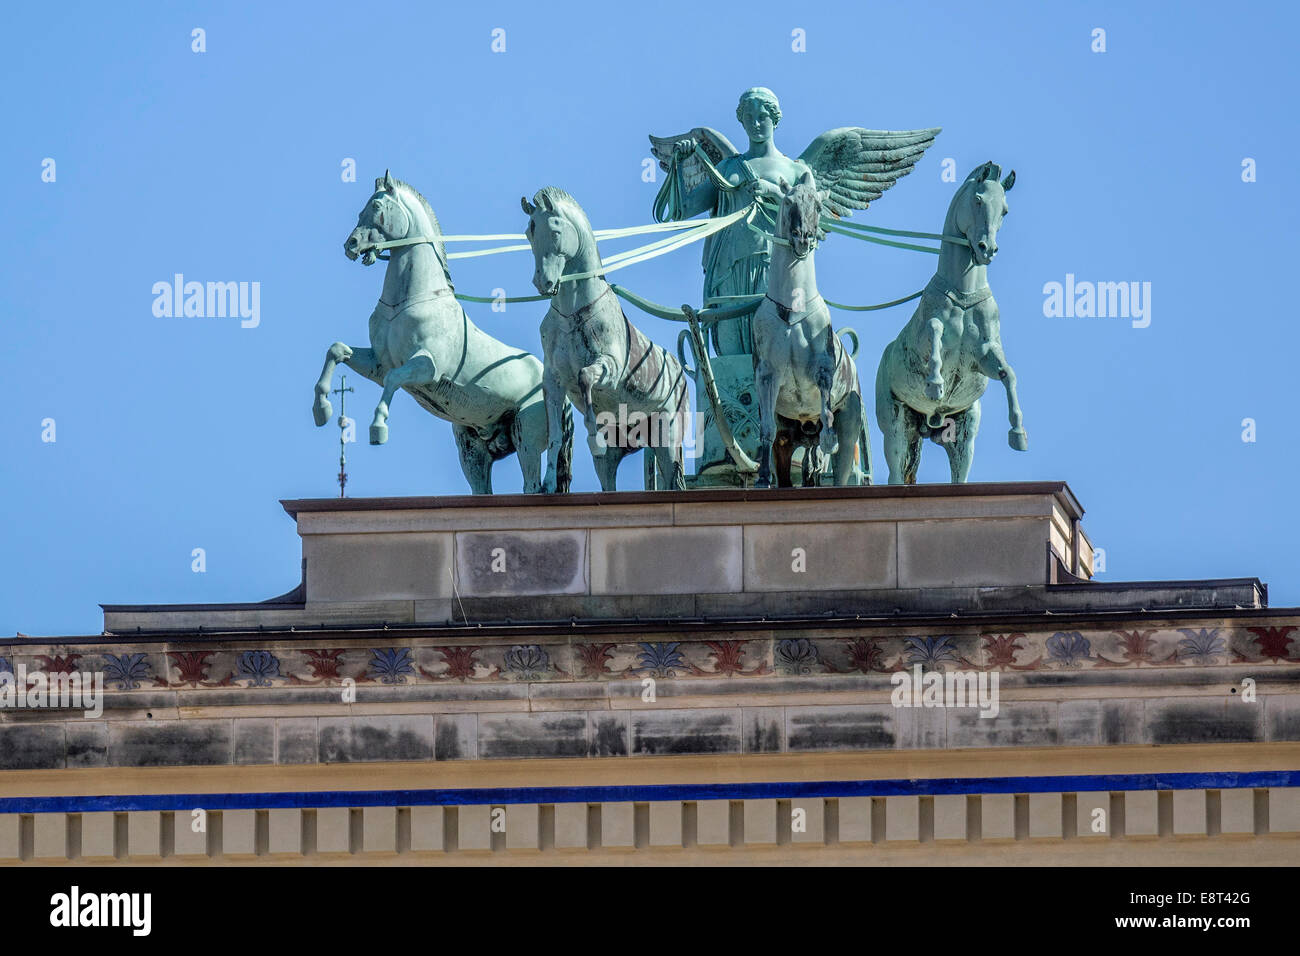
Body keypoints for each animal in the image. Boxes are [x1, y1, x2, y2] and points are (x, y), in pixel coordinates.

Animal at [522, 184, 691, 494]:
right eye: (530, 233)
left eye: (555, 231)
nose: (543, 283)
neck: (573, 312)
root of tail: (680, 372)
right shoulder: (552, 380)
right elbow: (554, 436)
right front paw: (548, 484)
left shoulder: (609, 368)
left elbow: (585, 377)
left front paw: (592, 435)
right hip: (621, 450)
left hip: (668, 435)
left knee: (673, 477)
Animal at [873, 161, 1024, 486]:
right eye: (978, 200)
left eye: (1005, 210)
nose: (987, 249)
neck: (963, 293)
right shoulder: (924, 338)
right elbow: (934, 330)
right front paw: (935, 384)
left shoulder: (984, 356)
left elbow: (1007, 373)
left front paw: (1018, 432)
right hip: (896, 427)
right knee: (895, 472)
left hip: (963, 435)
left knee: (960, 472)